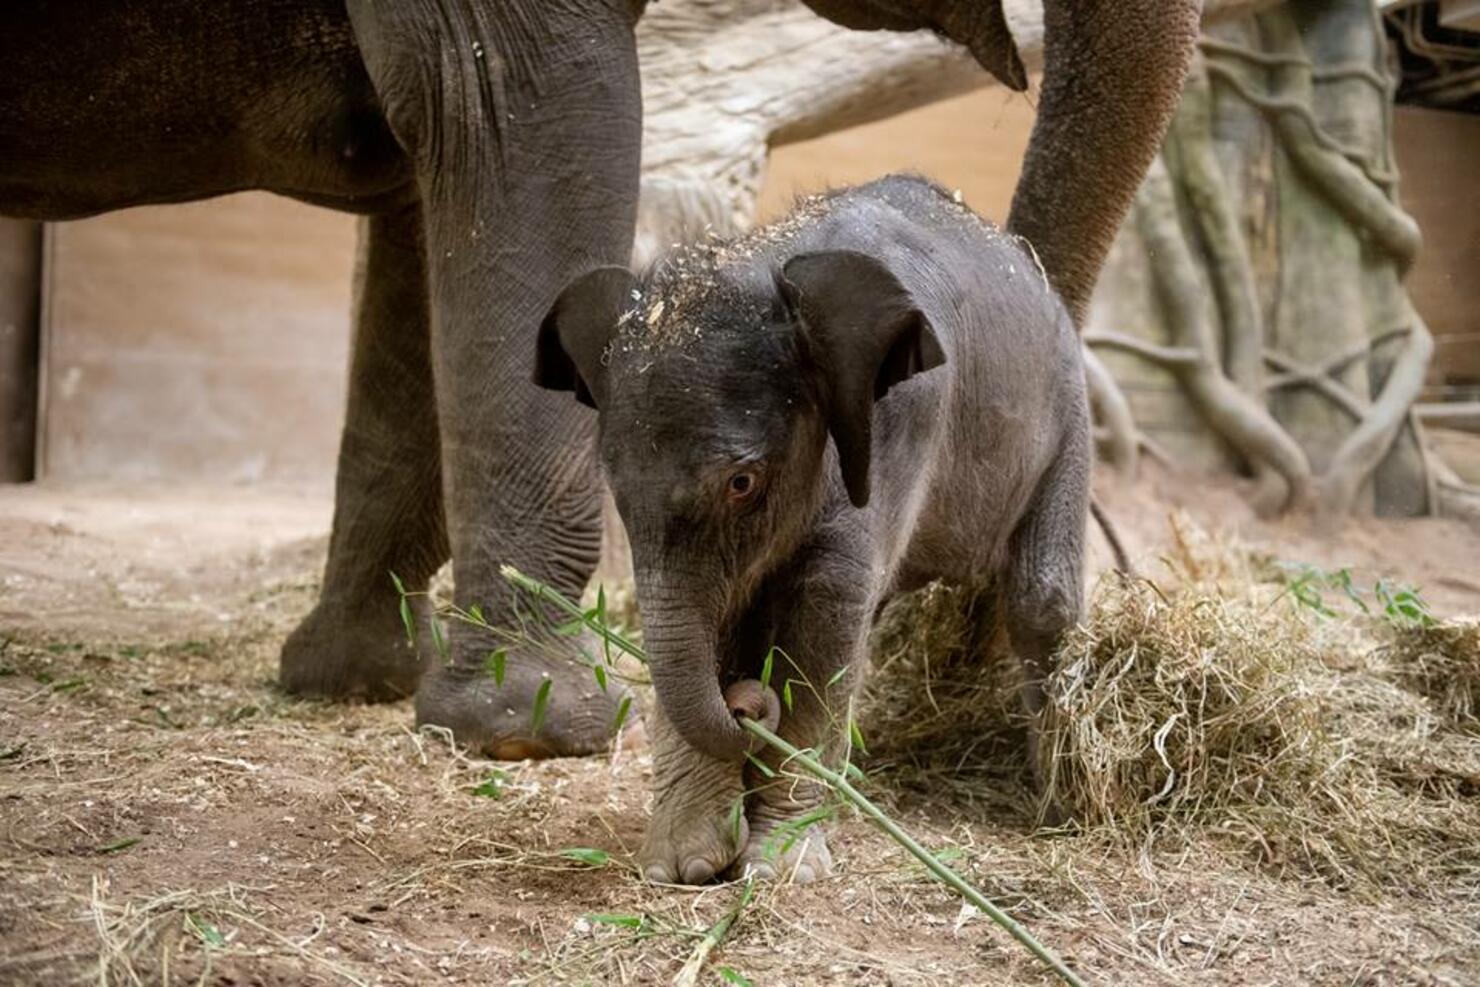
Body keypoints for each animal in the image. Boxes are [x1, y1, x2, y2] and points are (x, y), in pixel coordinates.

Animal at [532, 173, 1089, 881]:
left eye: (742, 483)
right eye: (613, 484)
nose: (744, 705)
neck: (763, 264)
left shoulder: (899, 420)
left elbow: (826, 606)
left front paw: (780, 867)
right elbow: (731, 614)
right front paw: (684, 866)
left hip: (1068, 412)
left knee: (1040, 600)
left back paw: (1057, 808)